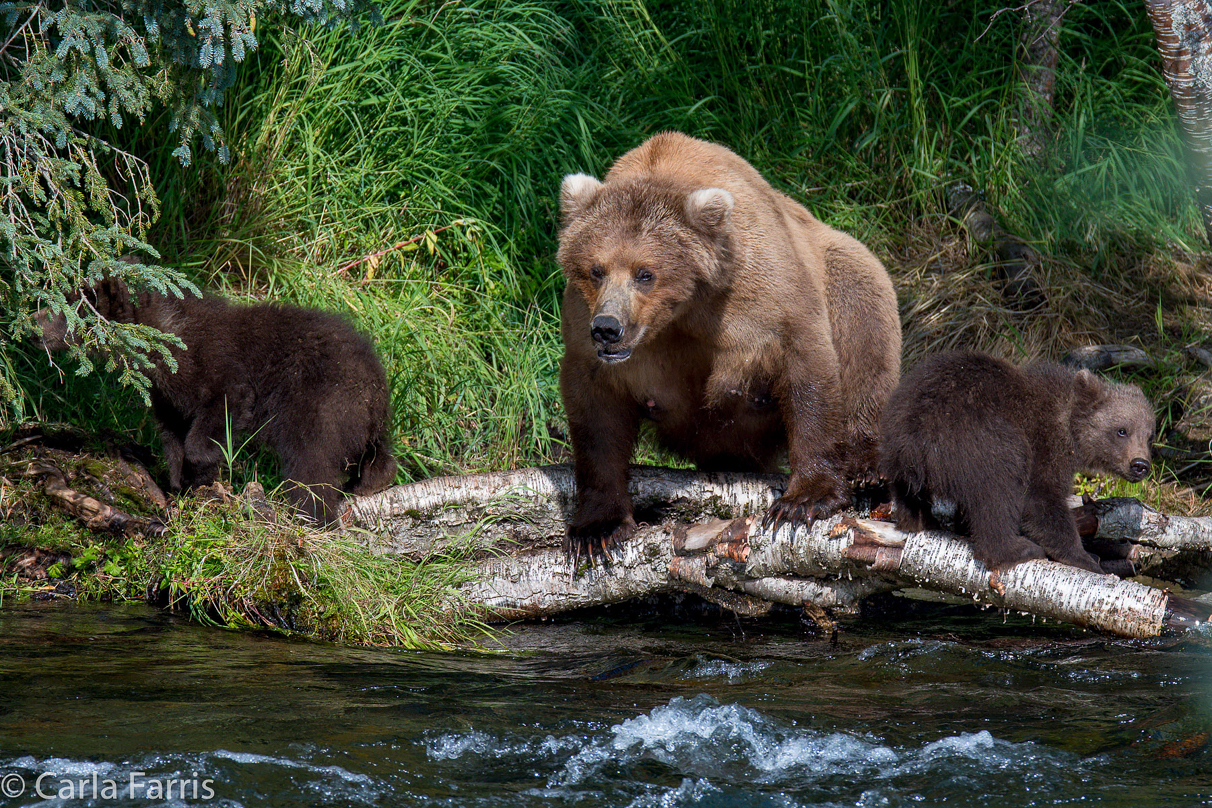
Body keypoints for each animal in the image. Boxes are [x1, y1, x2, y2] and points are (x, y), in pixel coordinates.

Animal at [36, 278, 397, 528]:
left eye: (71, 304)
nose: (33, 324)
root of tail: (377, 384)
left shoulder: (218, 371)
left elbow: (216, 416)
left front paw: (212, 466)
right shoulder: (167, 398)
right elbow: (173, 436)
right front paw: (180, 485)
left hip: (319, 406)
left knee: (311, 468)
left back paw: (312, 519)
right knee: (376, 462)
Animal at [557, 134, 901, 562]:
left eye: (645, 273)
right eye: (595, 269)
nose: (607, 328)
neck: (681, 313)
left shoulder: (761, 295)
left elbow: (804, 365)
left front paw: (803, 501)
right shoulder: (585, 333)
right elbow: (597, 419)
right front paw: (596, 529)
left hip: (849, 269)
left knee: (865, 339)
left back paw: (869, 469)